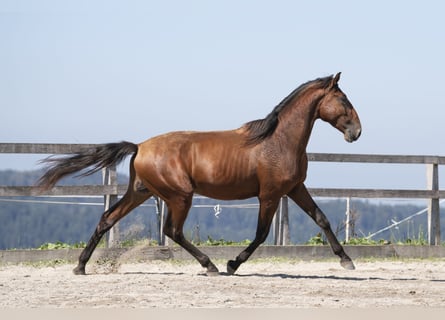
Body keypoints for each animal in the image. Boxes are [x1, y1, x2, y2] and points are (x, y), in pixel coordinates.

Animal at [38, 72, 360, 276]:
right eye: (344, 100)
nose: (356, 132)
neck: (277, 141)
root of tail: (139, 147)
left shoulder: (294, 188)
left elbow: (321, 218)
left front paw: (347, 261)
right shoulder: (269, 195)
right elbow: (261, 234)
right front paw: (232, 264)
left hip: (143, 192)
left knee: (108, 218)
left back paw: (80, 266)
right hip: (180, 195)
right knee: (173, 231)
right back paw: (211, 266)